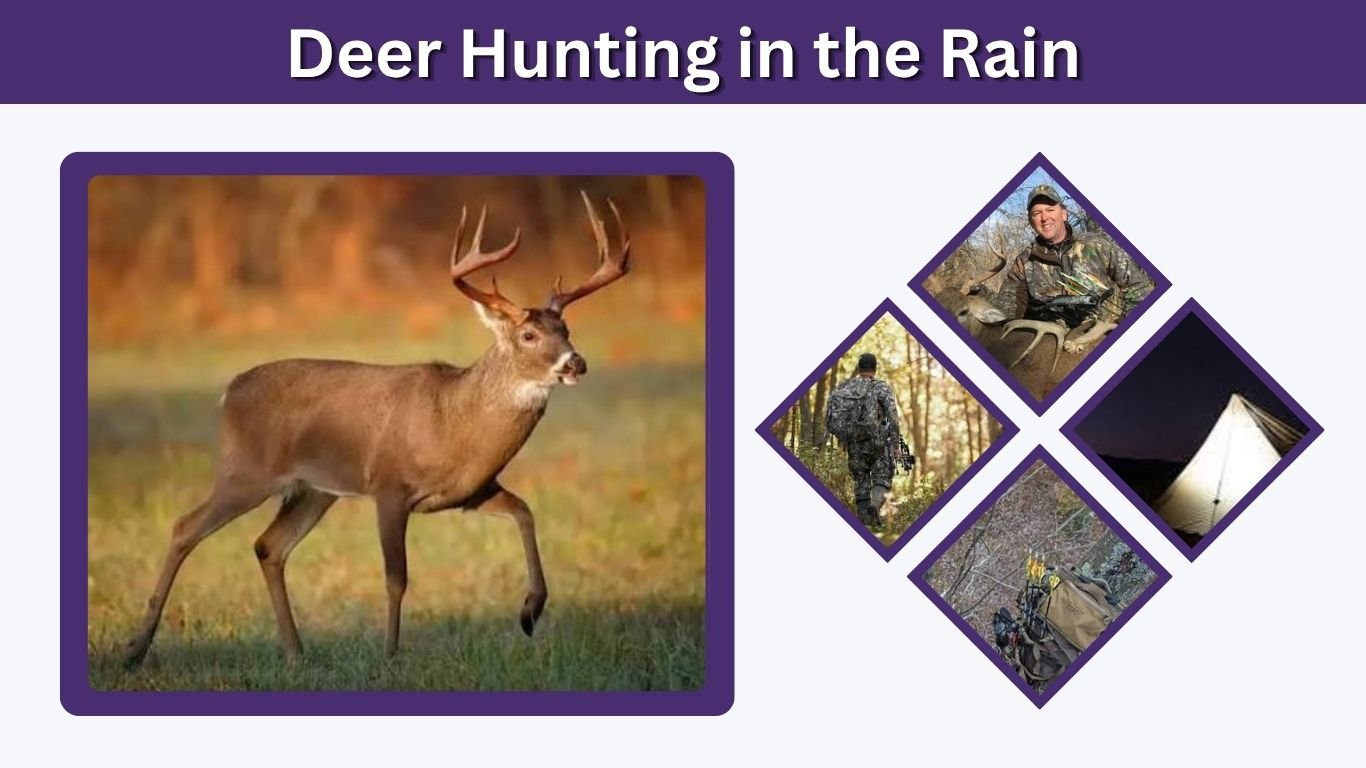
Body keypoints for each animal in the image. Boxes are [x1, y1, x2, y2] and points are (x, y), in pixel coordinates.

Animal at [121, 191, 631, 668]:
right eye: (528, 335)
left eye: (566, 329)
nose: (576, 362)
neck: (452, 421)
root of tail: (229, 392)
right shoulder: (389, 487)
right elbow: (395, 576)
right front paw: (390, 653)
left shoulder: (471, 491)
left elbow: (525, 512)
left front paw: (530, 611)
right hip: (246, 471)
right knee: (185, 528)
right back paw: (135, 650)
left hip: (313, 490)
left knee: (269, 546)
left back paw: (295, 652)